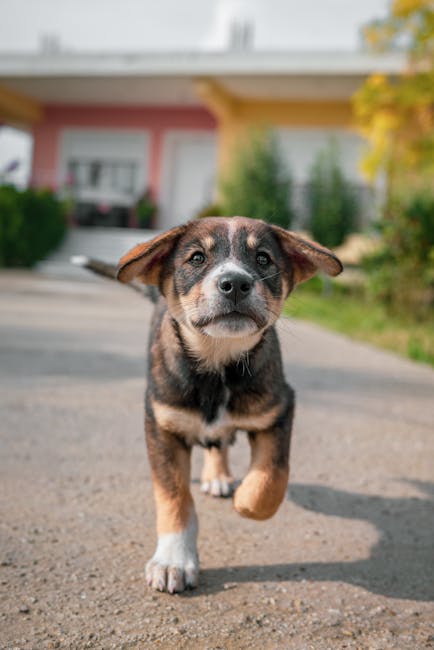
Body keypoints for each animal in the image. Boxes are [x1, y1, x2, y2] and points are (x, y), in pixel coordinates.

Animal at [79, 215, 342, 588]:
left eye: (263, 258)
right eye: (197, 258)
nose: (235, 284)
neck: (218, 364)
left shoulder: (279, 408)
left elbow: (272, 475)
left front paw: (246, 500)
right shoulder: (162, 423)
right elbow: (174, 496)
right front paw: (173, 561)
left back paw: (220, 478)